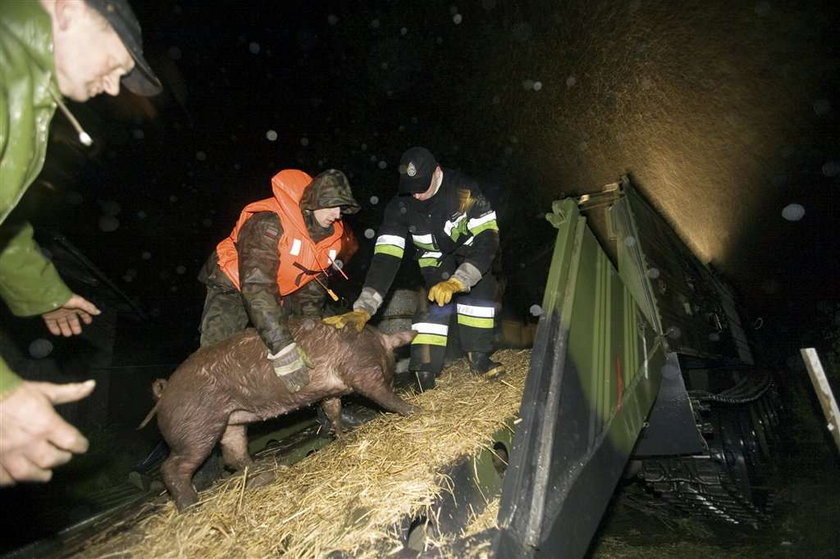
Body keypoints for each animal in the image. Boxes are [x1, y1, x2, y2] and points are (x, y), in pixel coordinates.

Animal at [151, 320, 420, 512]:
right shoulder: (361, 369)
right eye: (390, 368)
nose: (393, 379)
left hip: (231, 422)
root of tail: (162, 395)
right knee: (172, 467)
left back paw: (265, 471)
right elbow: (379, 393)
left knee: (233, 454)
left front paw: (343, 436)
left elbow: (333, 411)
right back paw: (192, 507)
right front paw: (412, 409)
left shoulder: (330, 392)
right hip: (196, 427)